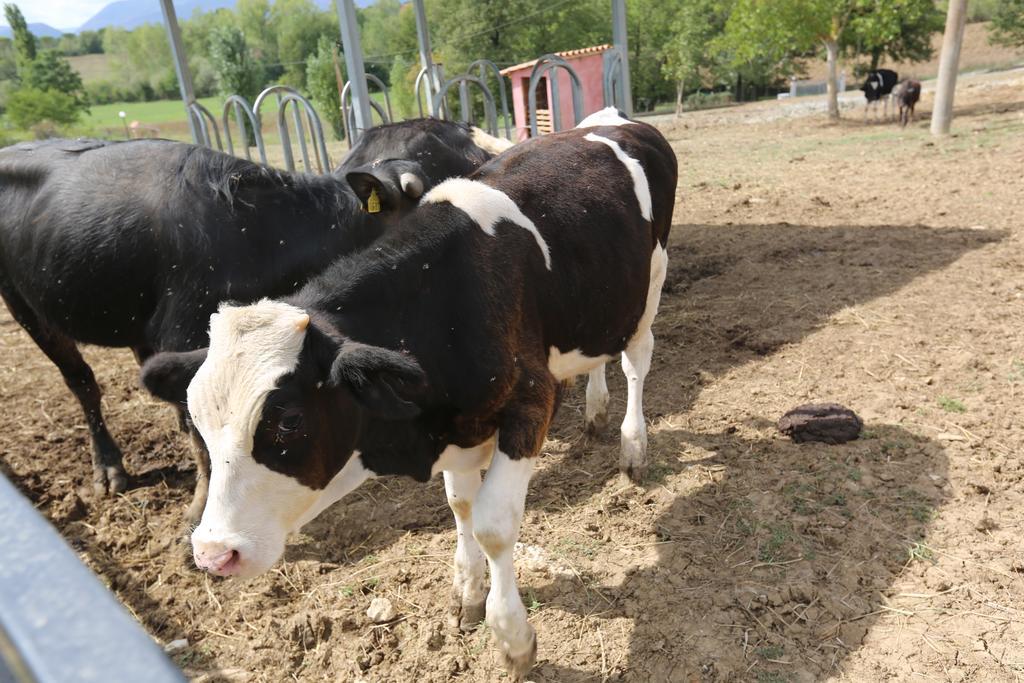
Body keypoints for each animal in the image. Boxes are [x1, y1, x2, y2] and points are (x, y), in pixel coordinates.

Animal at [0, 120, 499, 520]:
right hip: (27, 309)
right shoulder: (185, 334)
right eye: (465, 163)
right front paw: (203, 507)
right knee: (82, 383)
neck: (265, 231)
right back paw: (108, 466)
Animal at [138, 107, 679, 679]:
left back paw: (632, 448)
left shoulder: (530, 404)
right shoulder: (460, 427)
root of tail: (614, 119)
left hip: (649, 283)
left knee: (636, 361)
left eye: (288, 421)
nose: (213, 554)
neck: (442, 299)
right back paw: (596, 413)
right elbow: (461, 506)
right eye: (197, 423)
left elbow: (492, 525)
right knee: (600, 354)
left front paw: (512, 637)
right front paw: (467, 593)